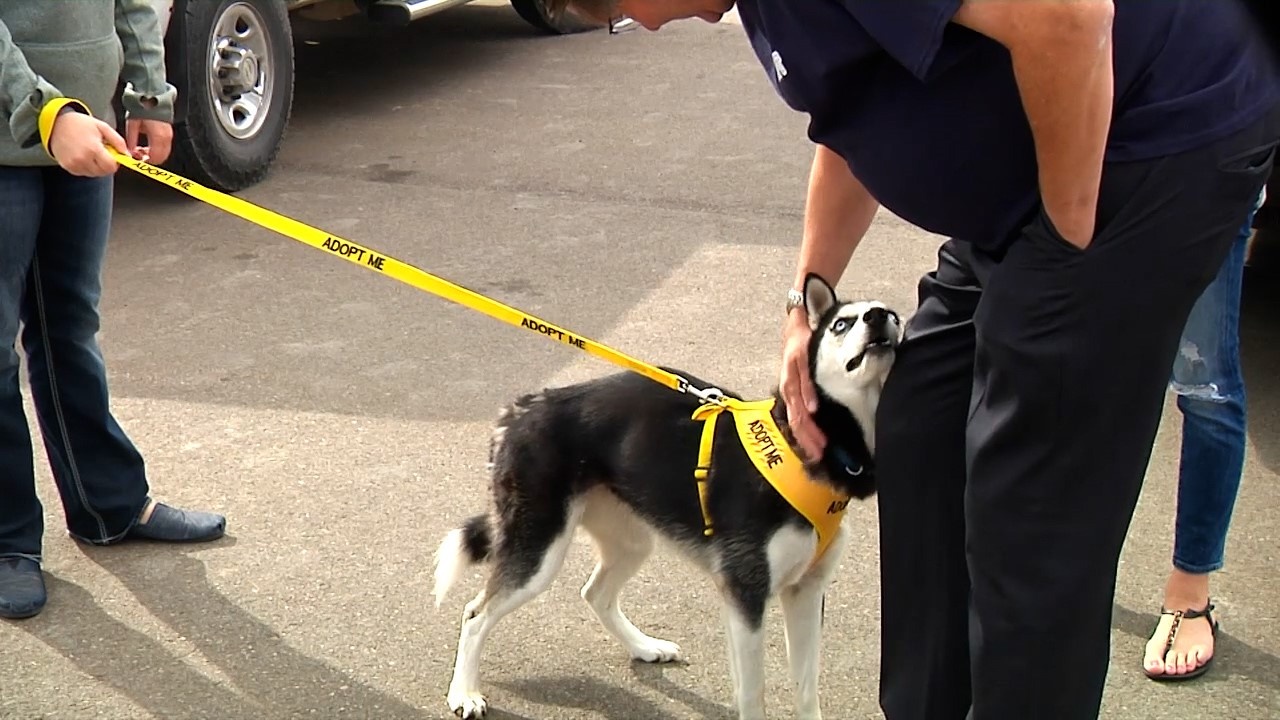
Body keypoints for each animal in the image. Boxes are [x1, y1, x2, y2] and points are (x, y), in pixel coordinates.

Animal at [432, 273, 902, 720]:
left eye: (894, 316)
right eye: (843, 323)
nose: (879, 317)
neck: (801, 443)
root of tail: (524, 407)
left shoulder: (805, 590)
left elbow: (807, 690)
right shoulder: (745, 593)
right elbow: (753, 693)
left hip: (631, 541)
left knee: (595, 593)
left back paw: (644, 646)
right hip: (538, 552)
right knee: (475, 615)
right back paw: (465, 693)